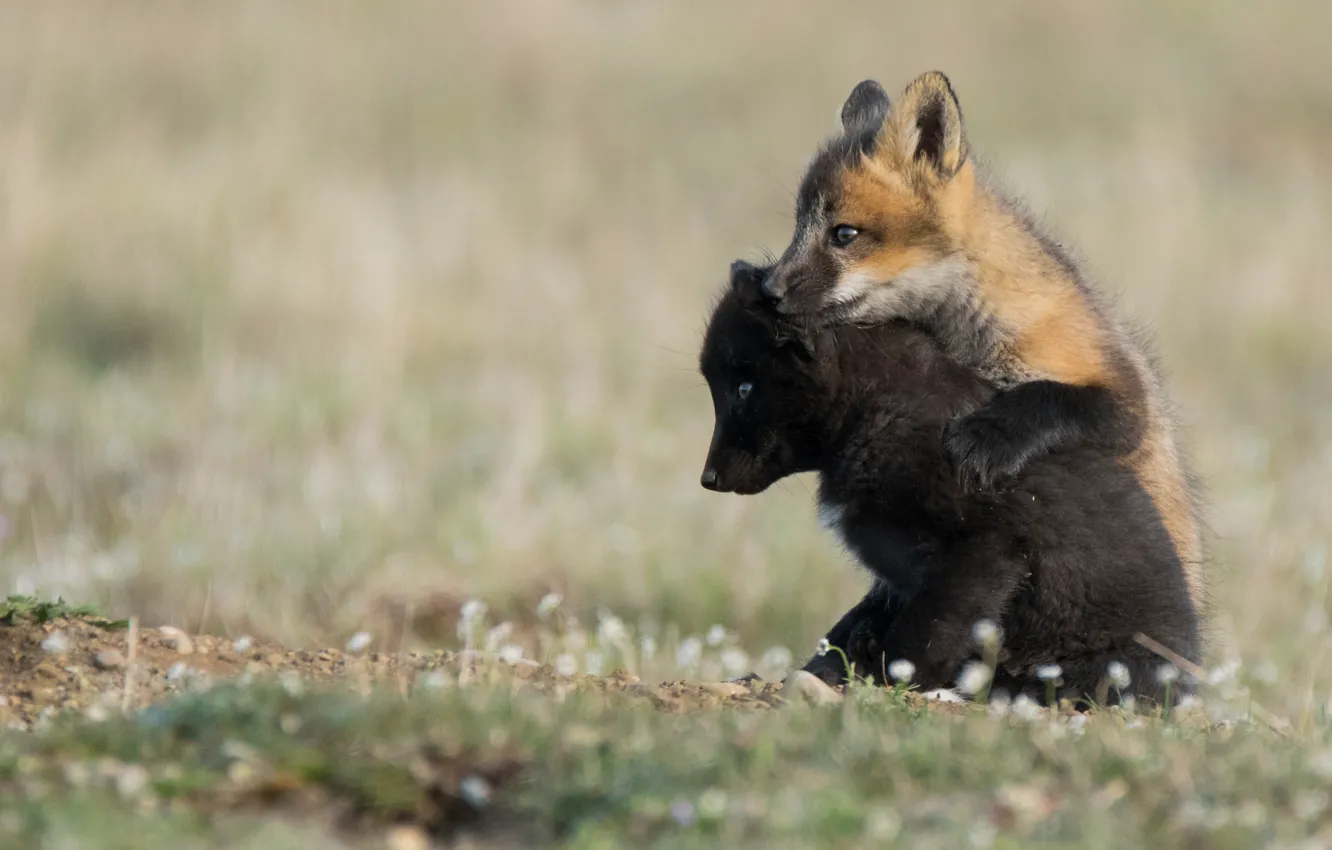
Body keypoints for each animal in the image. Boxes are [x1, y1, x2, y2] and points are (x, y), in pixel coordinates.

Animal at [698, 260, 1202, 706]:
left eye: (743, 389)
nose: (708, 479)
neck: (876, 406)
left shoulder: (981, 552)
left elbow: (921, 639)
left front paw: (890, 685)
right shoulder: (902, 577)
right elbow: (855, 626)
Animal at [753, 71, 1206, 618]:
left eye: (844, 234)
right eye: (797, 227)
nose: (768, 290)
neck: (969, 338)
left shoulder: (1125, 400)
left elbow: (1051, 398)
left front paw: (988, 438)